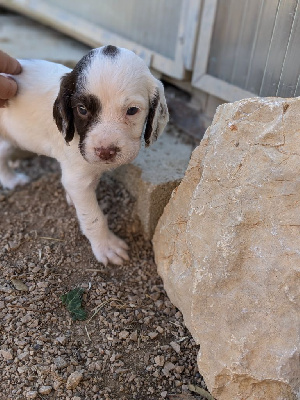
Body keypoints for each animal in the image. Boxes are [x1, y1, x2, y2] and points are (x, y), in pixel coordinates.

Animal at [0, 45, 169, 264]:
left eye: (132, 110)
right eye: (82, 109)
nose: (105, 151)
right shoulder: (78, 179)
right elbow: (94, 217)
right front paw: (106, 246)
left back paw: (10, 179)